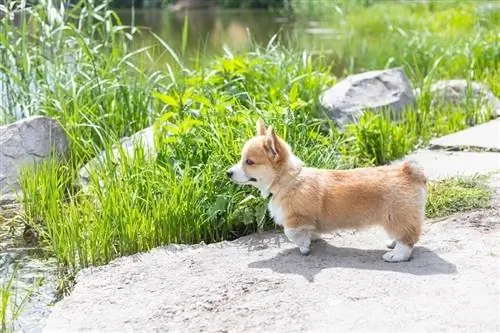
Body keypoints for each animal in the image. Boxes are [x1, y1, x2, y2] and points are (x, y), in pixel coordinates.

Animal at [227, 118, 426, 260]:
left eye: (249, 162)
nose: (227, 173)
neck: (289, 180)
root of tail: (408, 171)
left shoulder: (296, 218)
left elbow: (290, 232)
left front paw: (304, 246)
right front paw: (310, 239)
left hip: (396, 216)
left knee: (408, 239)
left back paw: (396, 255)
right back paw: (393, 242)